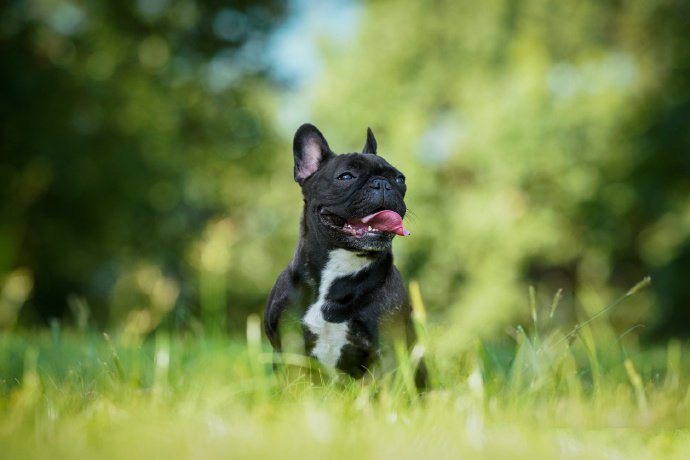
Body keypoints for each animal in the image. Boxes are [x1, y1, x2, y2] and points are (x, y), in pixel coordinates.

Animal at [264, 123, 424, 388]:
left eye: (400, 179)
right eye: (346, 177)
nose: (383, 184)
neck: (341, 267)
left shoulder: (388, 349)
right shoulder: (287, 348)